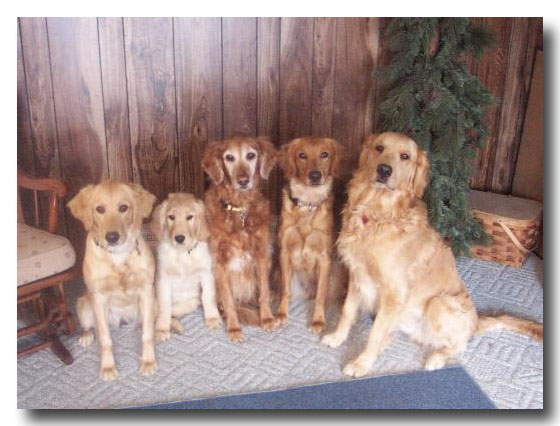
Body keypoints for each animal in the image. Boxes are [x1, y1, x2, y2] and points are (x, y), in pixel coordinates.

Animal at [68, 181, 157, 381]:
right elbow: (105, 339)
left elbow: (147, 335)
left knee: (145, 324)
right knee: (90, 328)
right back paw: (86, 336)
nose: (112, 237)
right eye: (99, 209)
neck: (118, 256)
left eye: (123, 208)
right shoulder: (98, 298)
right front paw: (108, 367)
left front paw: (148, 361)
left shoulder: (146, 292)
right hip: (84, 305)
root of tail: (121, 319)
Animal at [150, 192, 221, 342]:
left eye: (190, 217)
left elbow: (208, 296)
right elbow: (164, 306)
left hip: (189, 303)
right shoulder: (163, 280)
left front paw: (212, 318)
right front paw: (162, 328)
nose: (179, 238)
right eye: (171, 217)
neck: (183, 254)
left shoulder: (206, 274)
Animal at [202, 135, 278, 342]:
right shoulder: (219, 263)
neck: (239, 209)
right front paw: (234, 327)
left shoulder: (262, 255)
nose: (243, 181)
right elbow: (228, 301)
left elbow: (263, 290)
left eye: (251, 155)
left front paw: (267, 318)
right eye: (229, 157)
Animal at [277, 136, 345, 333]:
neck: (307, 203)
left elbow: (321, 295)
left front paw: (318, 321)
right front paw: (281, 314)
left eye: (324, 154)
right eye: (302, 155)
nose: (315, 176)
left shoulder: (324, 258)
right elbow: (285, 290)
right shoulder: (284, 252)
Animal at [322, 132, 543, 377]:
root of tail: (476, 321)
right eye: (379, 147)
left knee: (459, 345)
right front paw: (337, 337)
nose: (384, 170)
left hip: (439, 303)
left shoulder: (393, 292)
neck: (377, 212)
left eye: (405, 156)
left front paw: (361, 363)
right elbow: (347, 311)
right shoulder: (356, 274)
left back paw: (437, 358)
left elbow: (375, 334)